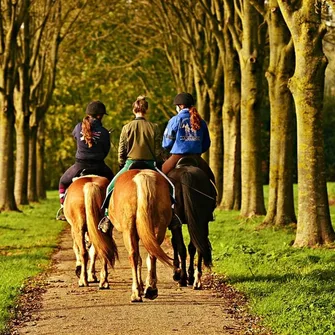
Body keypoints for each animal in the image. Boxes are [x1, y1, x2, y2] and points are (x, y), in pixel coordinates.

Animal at [108, 169, 173, 304]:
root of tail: (142, 176)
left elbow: (138, 259)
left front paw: (140, 287)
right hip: (159, 227)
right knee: (152, 254)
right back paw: (151, 289)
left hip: (128, 230)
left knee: (133, 256)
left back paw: (135, 293)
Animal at [168, 159, 218, 290]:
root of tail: (186, 173)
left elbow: (175, 243)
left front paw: (176, 273)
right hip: (201, 221)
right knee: (198, 246)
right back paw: (195, 280)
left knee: (182, 248)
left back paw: (183, 279)